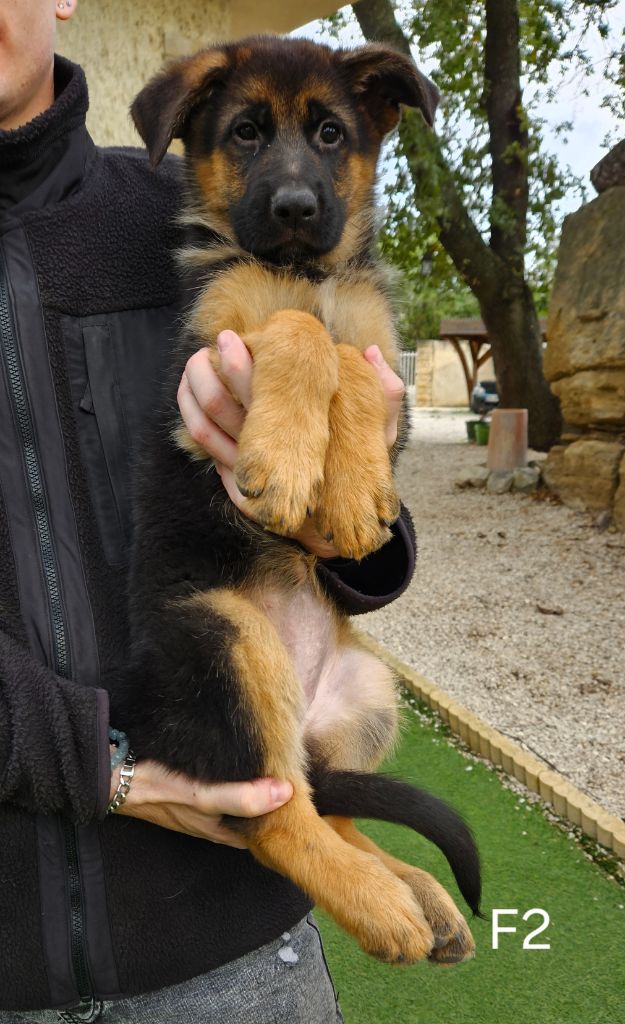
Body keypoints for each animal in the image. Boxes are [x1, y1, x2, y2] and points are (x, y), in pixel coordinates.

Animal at [122, 36, 481, 966]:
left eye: (329, 133)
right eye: (245, 132)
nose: (291, 207)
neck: (300, 270)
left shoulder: (387, 368)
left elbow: (345, 351)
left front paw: (350, 493)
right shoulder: (208, 350)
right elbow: (298, 331)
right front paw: (286, 463)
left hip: (372, 689)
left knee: (327, 806)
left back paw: (420, 893)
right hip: (227, 634)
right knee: (277, 820)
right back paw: (382, 904)